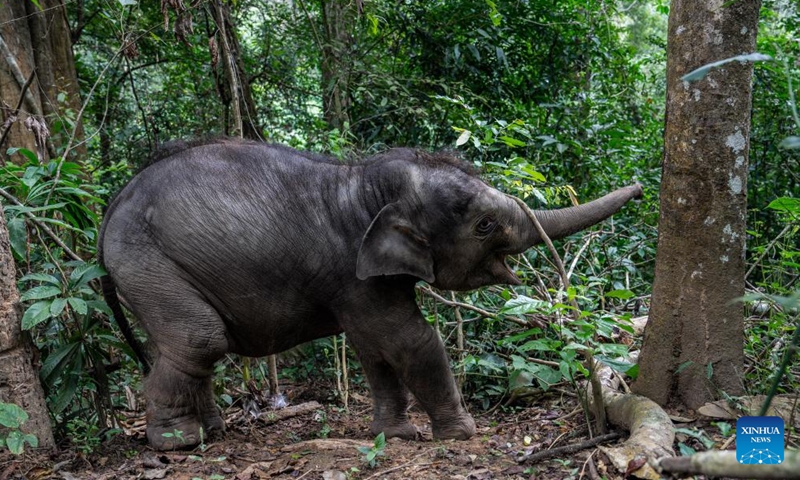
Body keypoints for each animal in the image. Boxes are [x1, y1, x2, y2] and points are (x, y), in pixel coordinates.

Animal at [98, 138, 642, 450]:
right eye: (485, 225)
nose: (640, 187)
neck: (362, 181)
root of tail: (110, 210)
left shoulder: (355, 284)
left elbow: (372, 351)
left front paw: (394, 436)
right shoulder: (352, 273)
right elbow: (409, 340)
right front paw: (461, 435)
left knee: (188, 349)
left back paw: (211, 431)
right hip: (147, 263)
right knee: (199, 339)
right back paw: (176, 443)